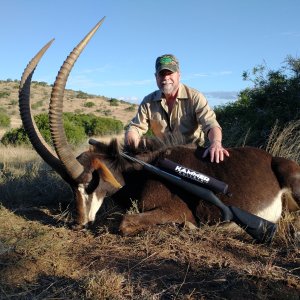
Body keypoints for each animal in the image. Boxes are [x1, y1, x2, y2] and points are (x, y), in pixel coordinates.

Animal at [18, 18, 300, 239]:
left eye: (89, 182)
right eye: (70, 187)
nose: (79, 224)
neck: (141, 169)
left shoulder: (175, 210)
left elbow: (124, 222)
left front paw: (189, 227)